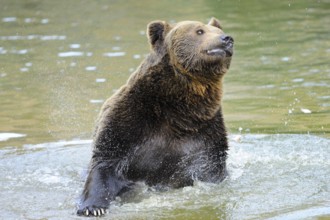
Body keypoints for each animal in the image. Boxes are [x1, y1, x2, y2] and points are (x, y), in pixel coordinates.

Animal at [77, 17, 233, 217]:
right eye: (199, 31)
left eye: (218, 30)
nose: (227, 39)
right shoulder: (128, 119)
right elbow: (105, 162)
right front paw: (92, 208)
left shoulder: (205, 130)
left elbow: (208, 166)